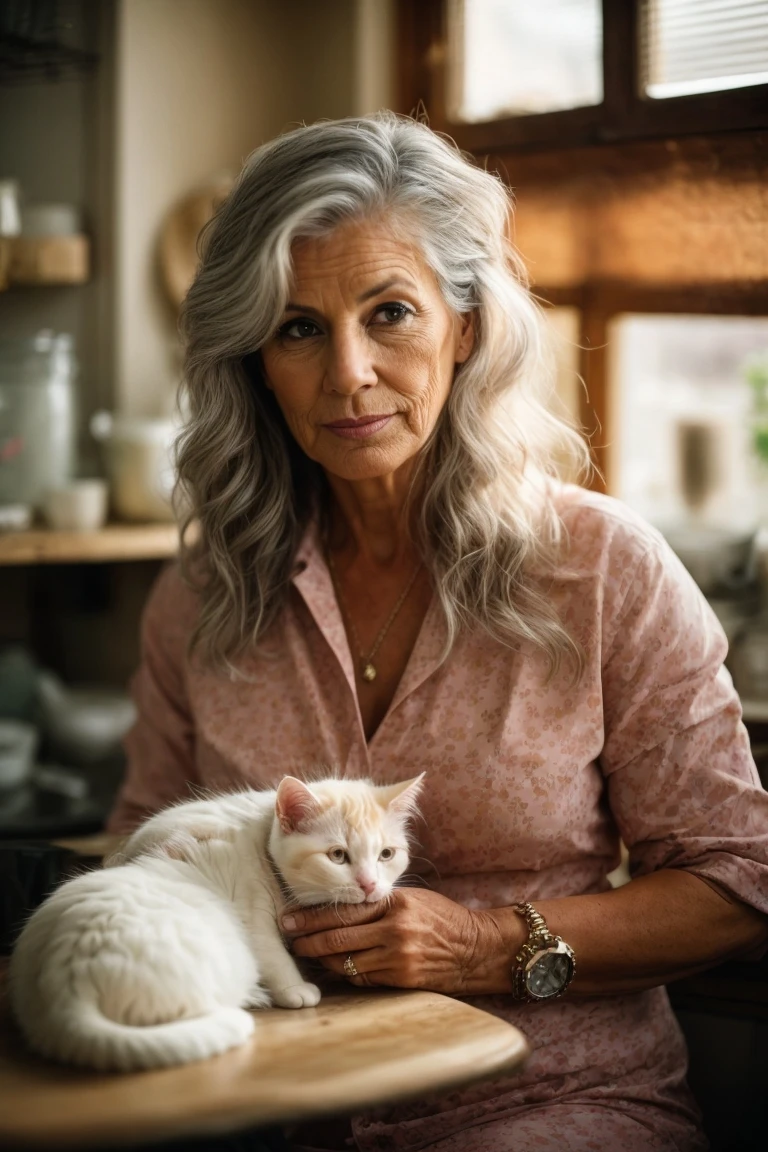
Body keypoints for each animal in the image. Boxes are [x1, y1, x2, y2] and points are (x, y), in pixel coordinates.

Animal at [8, 774, 423, 1069]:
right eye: (338, 856)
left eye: (387, 854)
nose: (369, 885)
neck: (261, 846)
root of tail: (64, 990)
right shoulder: (251, 912)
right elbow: (272, 954)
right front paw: (294, 988)